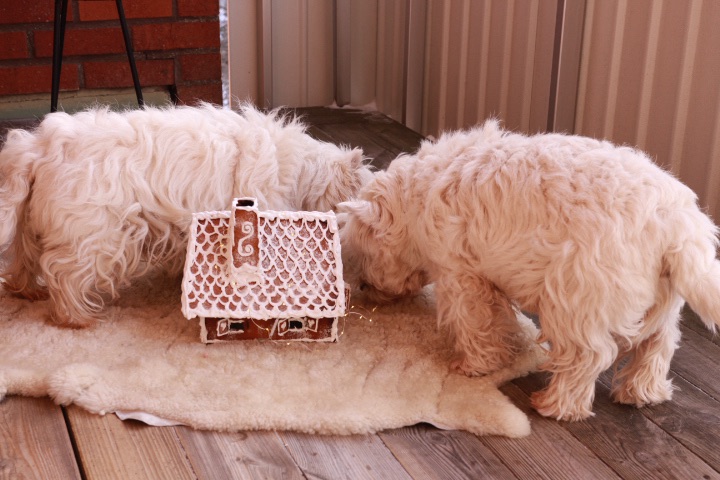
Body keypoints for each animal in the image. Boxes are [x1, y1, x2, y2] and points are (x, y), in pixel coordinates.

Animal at [0, 103, 372, 328]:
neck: (302, 174)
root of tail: (40, 147)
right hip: (93, 233)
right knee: (62, 272)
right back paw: (76, 317)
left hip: (34, 224)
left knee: (24, 259)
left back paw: (27, 291)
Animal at [339, 120, 720, 421]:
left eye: (362, 255)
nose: (365, 289)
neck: (414, 198)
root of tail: (678, 224)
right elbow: (497, 320)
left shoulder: (461, 277)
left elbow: (475, 323)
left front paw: (474, 365)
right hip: (661, 303)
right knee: (659, 343)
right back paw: (642, 392)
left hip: (575, 297)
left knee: (589, 355)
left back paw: (556, 405)